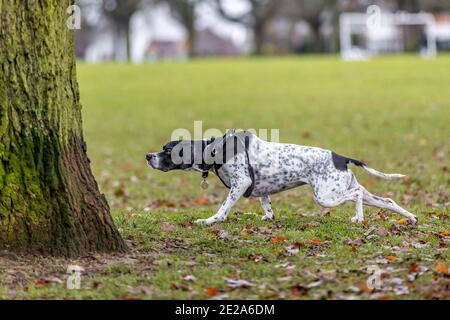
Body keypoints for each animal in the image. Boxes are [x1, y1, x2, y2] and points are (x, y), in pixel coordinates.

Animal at [148, 129, 418, 225]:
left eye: (167, 150)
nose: (148, 155)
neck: (215, 149)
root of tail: (340, 157)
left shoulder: (241, 183)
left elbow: (224, 207)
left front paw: (211, 220)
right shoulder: (259, 190)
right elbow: (267, 209)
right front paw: (267, 218)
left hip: (326, 196)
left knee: (357, 194)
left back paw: (358, 218)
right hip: (343, 192)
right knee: (386, 200)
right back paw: (411, 218)